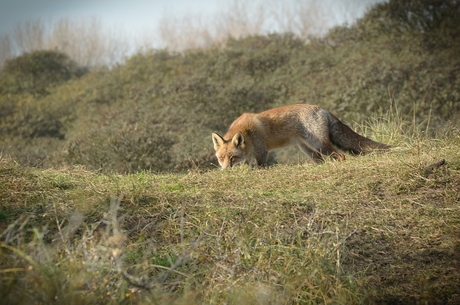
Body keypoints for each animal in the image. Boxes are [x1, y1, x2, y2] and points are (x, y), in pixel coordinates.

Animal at [210, 103, 390, 167]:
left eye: (232, 157)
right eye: (221, 158)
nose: (226, 170)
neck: (248, 135)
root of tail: (322, 109)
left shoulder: (262, 152)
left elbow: (261, 168)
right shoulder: (249, 156)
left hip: (319, 145)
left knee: (341, 156)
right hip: (308, 150)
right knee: (321, 161)